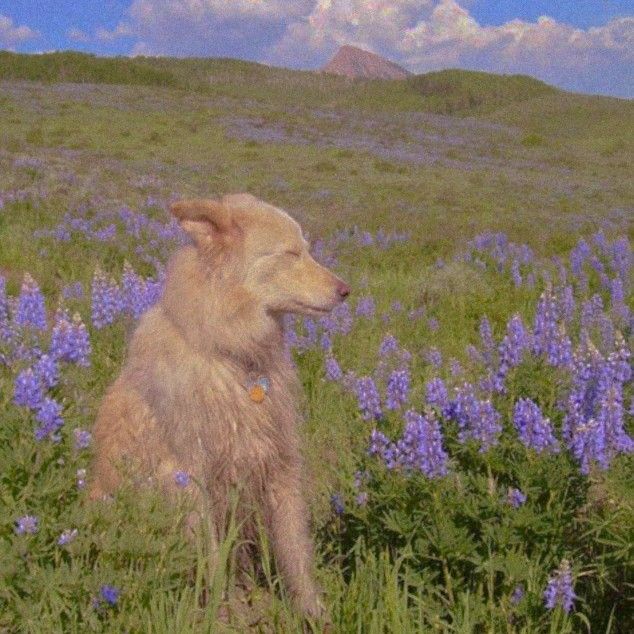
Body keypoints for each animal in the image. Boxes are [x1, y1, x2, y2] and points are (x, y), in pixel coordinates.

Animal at [88, 193, 348, 616]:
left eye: (306, 250)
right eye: (290, 253)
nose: (345, 291)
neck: (233, 354)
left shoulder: (277, 462)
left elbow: (295, 548)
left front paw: (312, 611)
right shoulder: (190, 475)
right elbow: (211, 559)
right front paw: (223, 614)